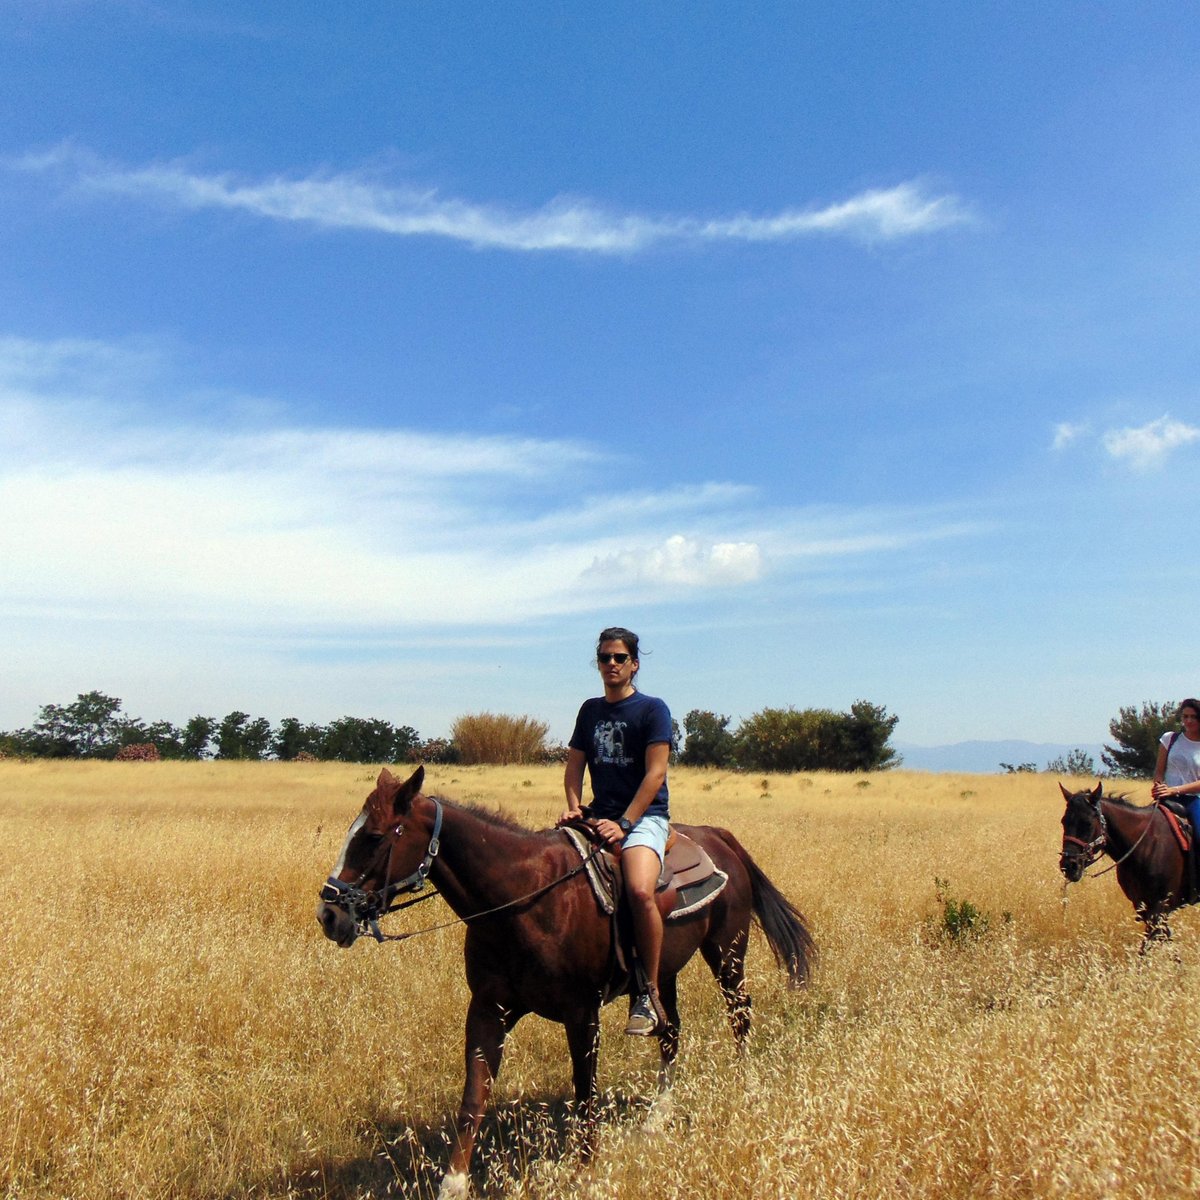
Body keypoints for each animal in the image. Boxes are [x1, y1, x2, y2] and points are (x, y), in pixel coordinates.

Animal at [314, 763, 816, 1195]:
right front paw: (453, 1184)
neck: (524, 899)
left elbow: (584, 1092)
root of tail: (718, 836)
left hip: (728, 953)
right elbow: (474, 1096)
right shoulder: (488, 1009)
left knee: (740, 1014)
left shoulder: (582, 1014)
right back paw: (658, 1115)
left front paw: (586, 1171)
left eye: (374, 837)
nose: (329, 914)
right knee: (670, 1031)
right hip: (664, 974)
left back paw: (747, 1088)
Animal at [1060, 782, 1190, 950]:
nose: (1069, 866)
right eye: (1063, 822)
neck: (1145, 844)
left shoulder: (1159, 906)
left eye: (1087, 824)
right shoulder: (1141, 904)